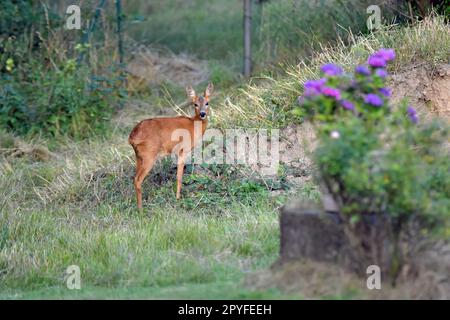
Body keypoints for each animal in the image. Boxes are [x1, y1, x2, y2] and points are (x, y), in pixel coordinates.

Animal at [127, 82, 214, 210]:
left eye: (207, 103)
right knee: (137, 180)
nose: (203, 114)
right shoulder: (183, 150)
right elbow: (179, 176)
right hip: (149, 155)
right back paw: (140, 209)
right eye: (195, 104)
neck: (193, 125)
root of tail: (132, 137)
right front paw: (178, 198)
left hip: (138, 156)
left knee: (135, 178)